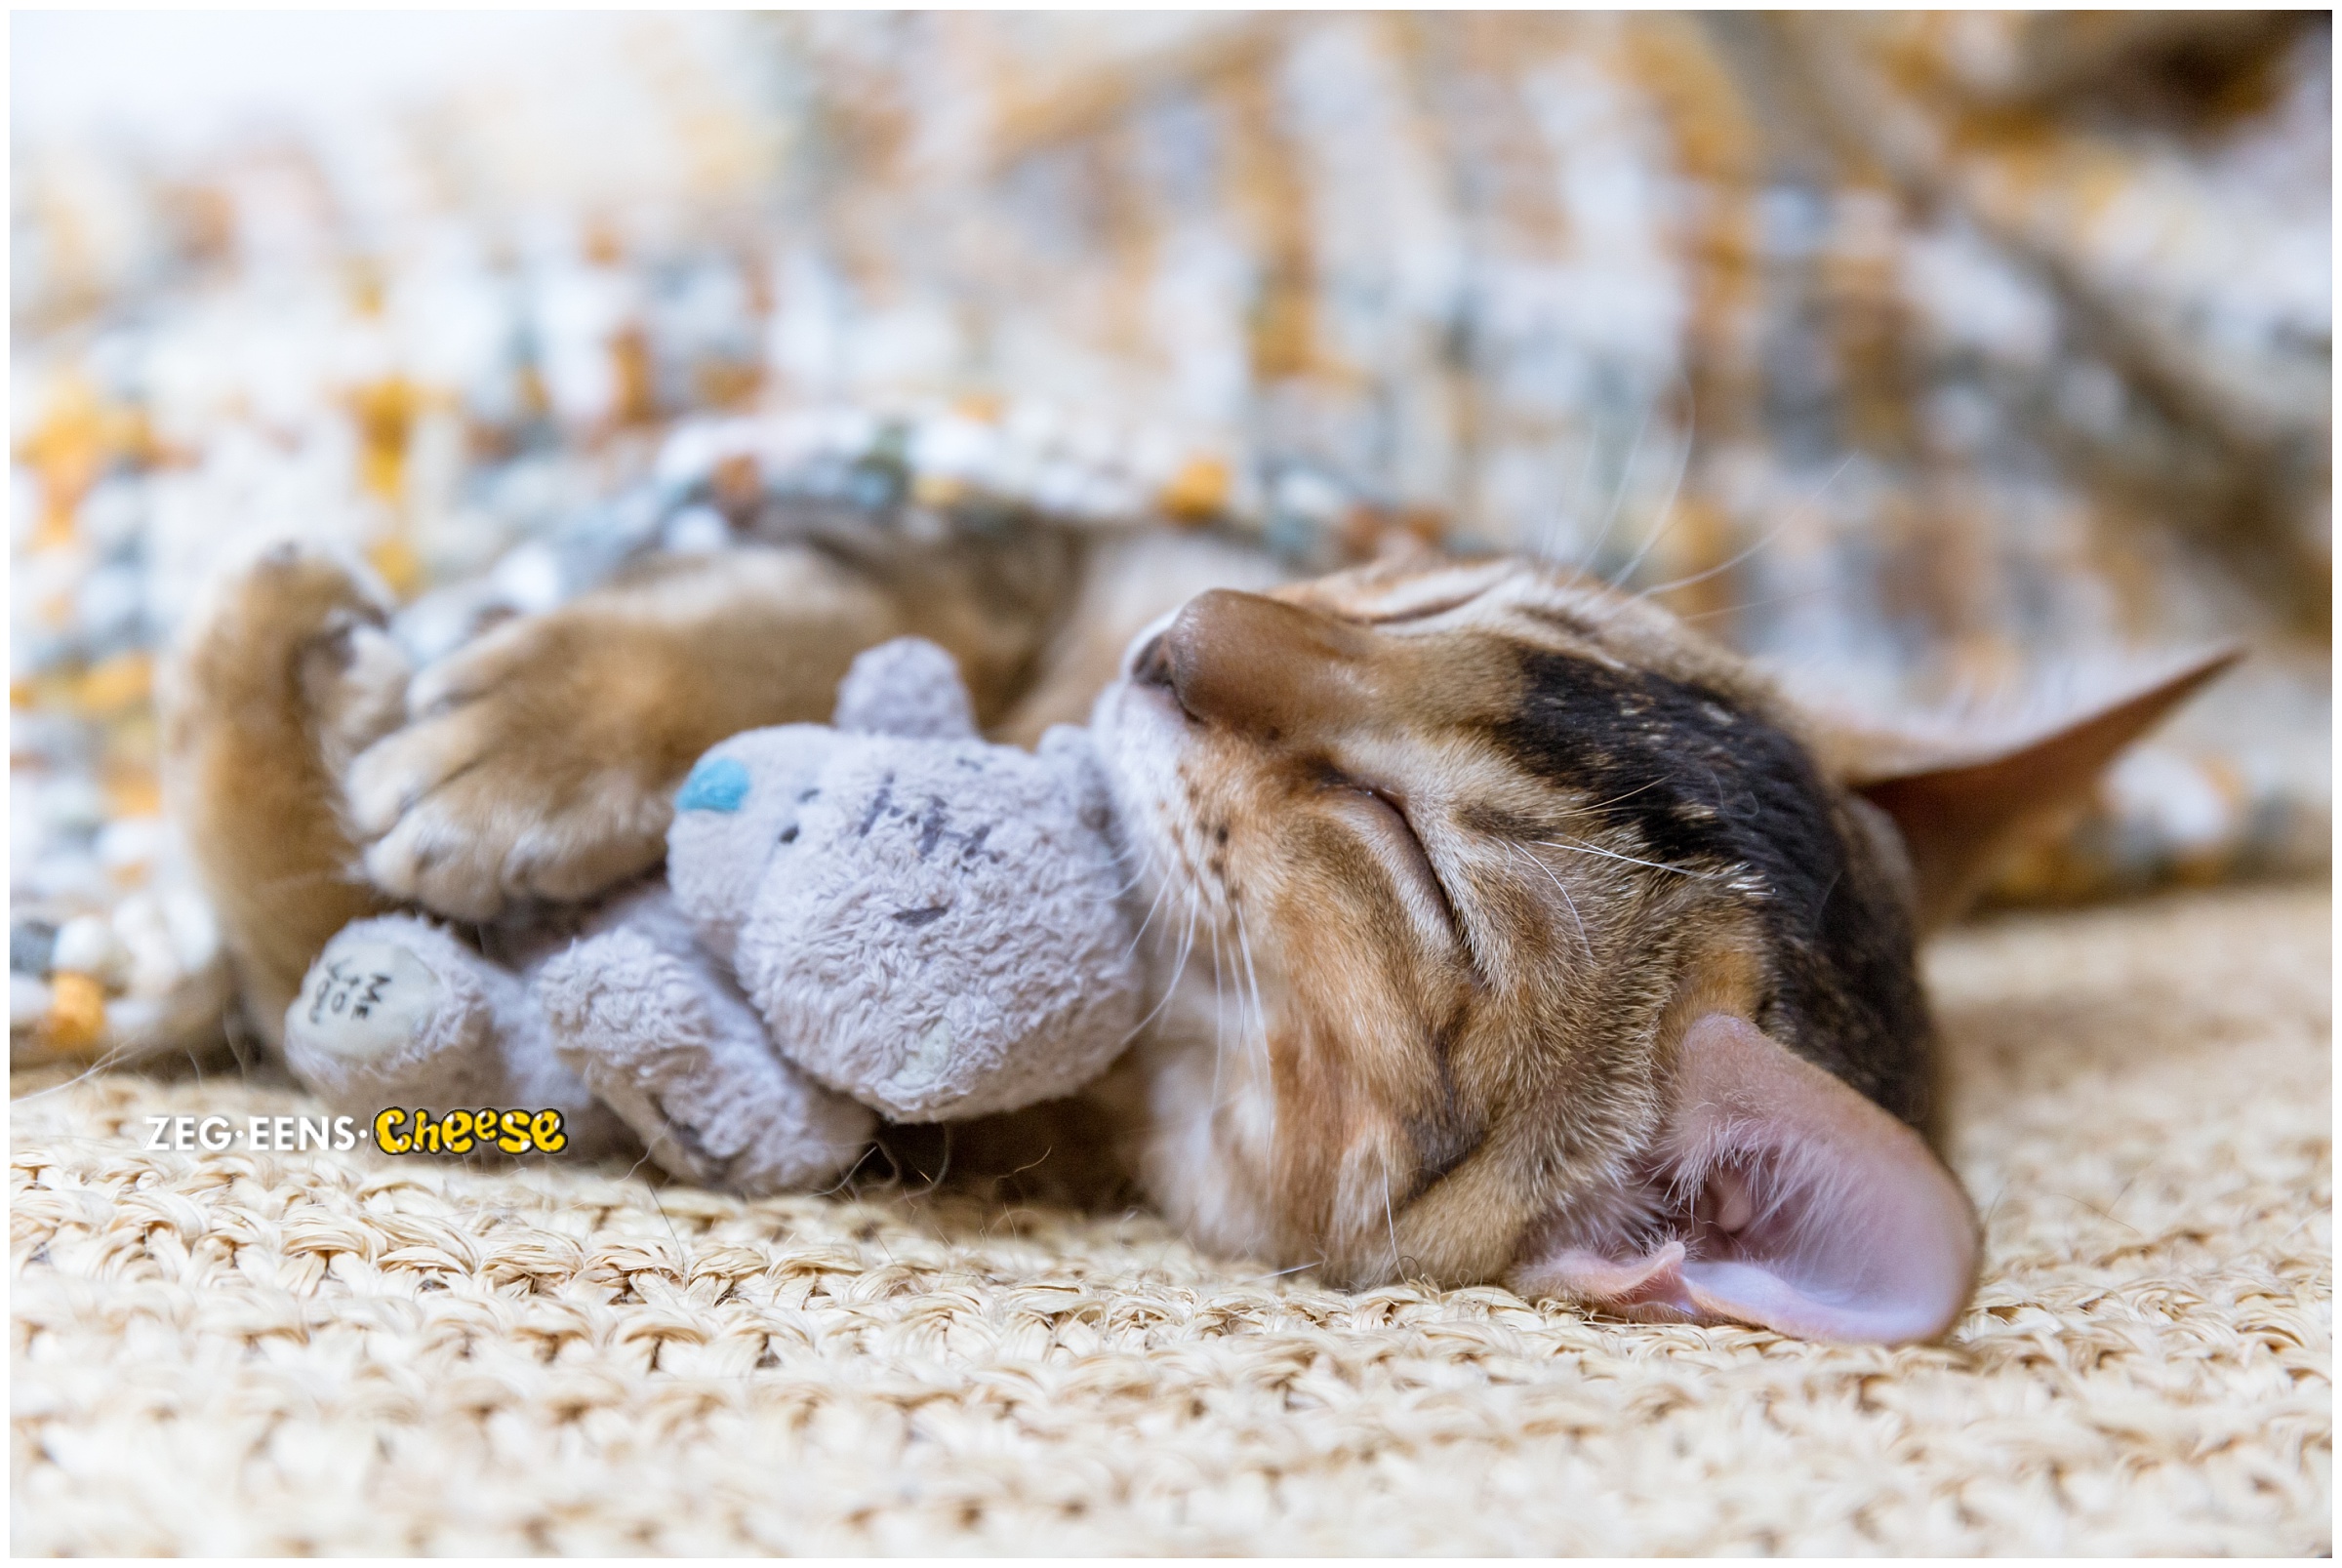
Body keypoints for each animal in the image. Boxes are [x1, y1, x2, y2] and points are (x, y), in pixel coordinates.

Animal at [160, 521, 2210, 1347]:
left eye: (1409, 858)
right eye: (1454, 595)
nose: (1194, 627)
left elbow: (308, 933)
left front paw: (252, 659)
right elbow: (823, 587)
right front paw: (540, 709)